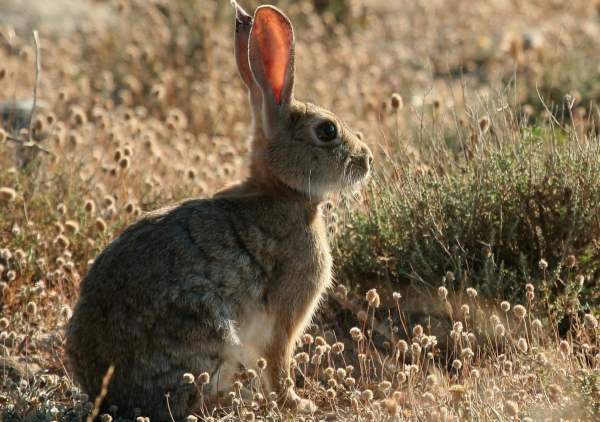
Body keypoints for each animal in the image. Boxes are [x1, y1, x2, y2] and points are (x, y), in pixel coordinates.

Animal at [65, 1, 372, 420]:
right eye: (327, 131)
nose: (367, 160)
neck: (282, 192)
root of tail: (109, 391)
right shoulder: (285, 313)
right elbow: (279, 362)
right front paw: (298, 403)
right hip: (207, 330)